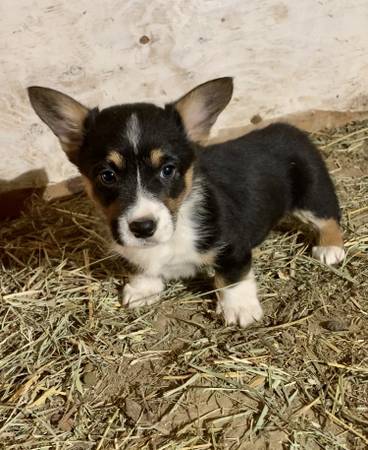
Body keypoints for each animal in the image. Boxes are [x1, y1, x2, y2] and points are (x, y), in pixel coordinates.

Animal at [28, 78, 344, 326]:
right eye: (107, 176)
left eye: (168, 170)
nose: (143, 227)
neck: (177, 222)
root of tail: (289, 129)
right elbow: (144, 267)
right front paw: (143, 289)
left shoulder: (233, 245)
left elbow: (232, 277)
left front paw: (239, 308)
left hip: (312, 194)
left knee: (329, 217)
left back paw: (330, 249)